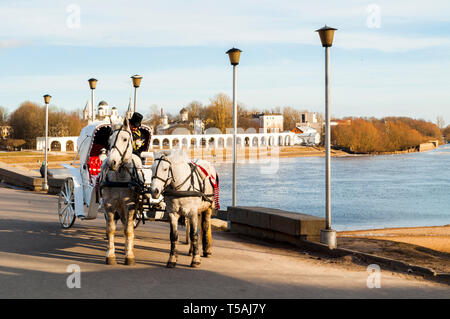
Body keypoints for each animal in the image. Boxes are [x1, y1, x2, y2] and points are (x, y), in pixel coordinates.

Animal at [98, 119, 144, 266]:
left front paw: (129, 256)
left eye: (125, 139)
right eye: (109, 139)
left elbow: (128, 230)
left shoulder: (130, 205)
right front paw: (110, 255)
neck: (119, 177)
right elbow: (110, 229)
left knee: (127, 226)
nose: (112, 162)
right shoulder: (109, 205)